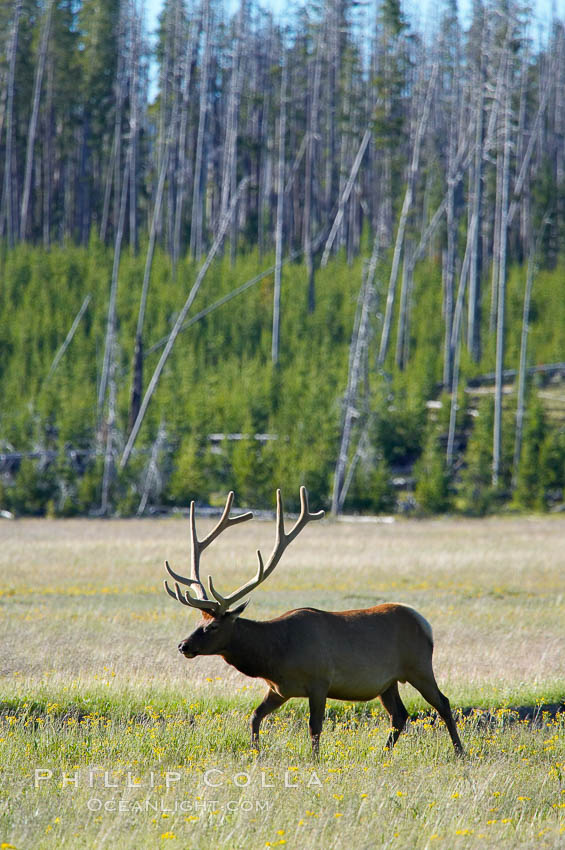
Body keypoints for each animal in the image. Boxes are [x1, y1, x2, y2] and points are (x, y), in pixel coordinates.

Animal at [164, 484, 462, 756]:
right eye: (198, 622)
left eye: (212, 626)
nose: (183, 645)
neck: (273, 655)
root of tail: (424, 623)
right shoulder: (279, 689)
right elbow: (255, 716)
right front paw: (256, 751)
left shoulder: (320, 681)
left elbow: (314, 727)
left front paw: (315, 760)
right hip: (387, 682)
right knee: (399, 715)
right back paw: (382, 755)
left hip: (419, 666)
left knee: (443, 703)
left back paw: (460, 752)